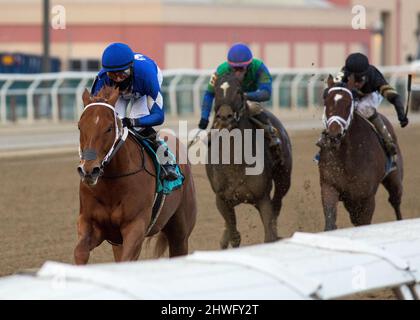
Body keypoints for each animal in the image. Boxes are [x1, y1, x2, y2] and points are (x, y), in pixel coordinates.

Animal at [74, 86, 197, 264]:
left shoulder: (135, 226)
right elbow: (80, 252)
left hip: (180, 232)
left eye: (109, 128)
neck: (111, 186)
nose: (89, 170)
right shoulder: (90, 223)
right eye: (80, 126)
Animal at [204, 72, 290, 248]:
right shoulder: (221, 199)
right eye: (215, 91)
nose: (224, 117)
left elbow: (269, 234)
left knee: (277, 203)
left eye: (239, 91)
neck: (235, 161)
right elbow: (234, 235)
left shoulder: (262, 197)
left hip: (284, 180)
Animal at [318, 75, 404, 230]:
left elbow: (364, 223)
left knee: (396, 202)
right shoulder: (329, 186)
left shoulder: (366, 198)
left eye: (348, 104)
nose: (333, 136)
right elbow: (330, 222)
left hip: (395, 180)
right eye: (326, 102)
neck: (347, 158)